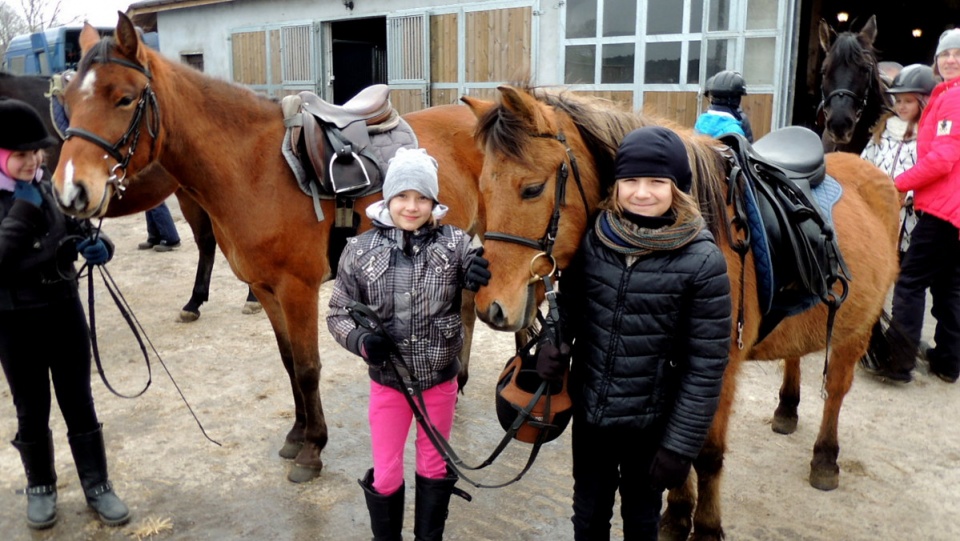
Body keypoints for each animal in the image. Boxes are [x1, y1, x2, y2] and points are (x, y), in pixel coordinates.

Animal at [48, 15, 484, 480]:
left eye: (125, 99)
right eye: (68, 101)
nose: (70, 191)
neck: (254, 169)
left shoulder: (298, 289)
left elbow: (308, 368)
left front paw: (313, 449)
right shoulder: (264, 288)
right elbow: (288, 361)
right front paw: (296, 435)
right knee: (465, 307)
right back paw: (455, 383)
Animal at [464, 84, 900, 540]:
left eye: (532, 189)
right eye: (483, 188)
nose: (491, 307)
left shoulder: (717, 368)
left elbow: (706, 455)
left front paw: (705, 526)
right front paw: (675, 516)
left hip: (856, 329)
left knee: (836, 390)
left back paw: (826, 459)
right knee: (795, 356)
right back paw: (786, 410)